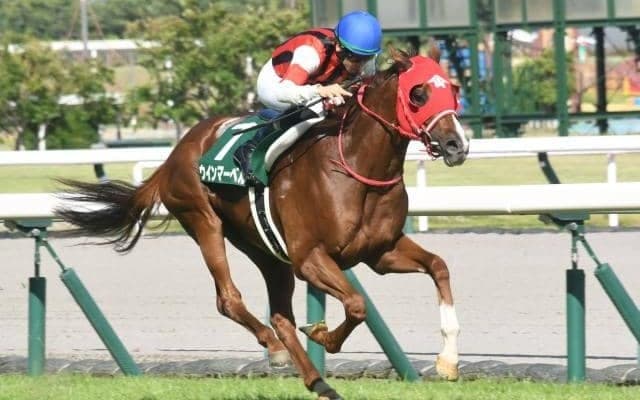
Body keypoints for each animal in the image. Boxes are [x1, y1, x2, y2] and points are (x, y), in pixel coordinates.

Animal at [55, 47, 469, 400]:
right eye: (418, 94)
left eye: (454, 90)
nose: (457, 145)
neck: (356, 166)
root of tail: (173, 155)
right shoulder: (309, 259)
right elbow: (356, 304)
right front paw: (323, 335)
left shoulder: (380, 252)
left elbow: (439, 267)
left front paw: (448, 361)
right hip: (204, 222)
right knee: (229, 299)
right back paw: (274, 347)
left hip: (265, 249)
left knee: (281, 316)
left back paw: (318, 382)